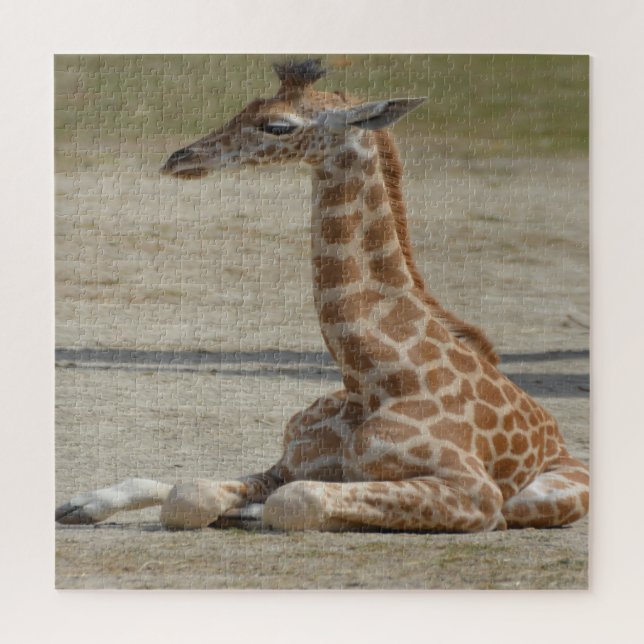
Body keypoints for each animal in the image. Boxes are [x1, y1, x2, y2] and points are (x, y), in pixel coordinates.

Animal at [56, 59, 589, 532]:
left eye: (277, 125)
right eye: (247, 105)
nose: (180, 158)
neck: (371, 376)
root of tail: (558, 434)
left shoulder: (476, 493)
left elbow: (295, 502)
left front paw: (256, 512)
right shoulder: (291, 461)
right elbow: (193, 493)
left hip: (547, 498)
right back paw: (80, 504)